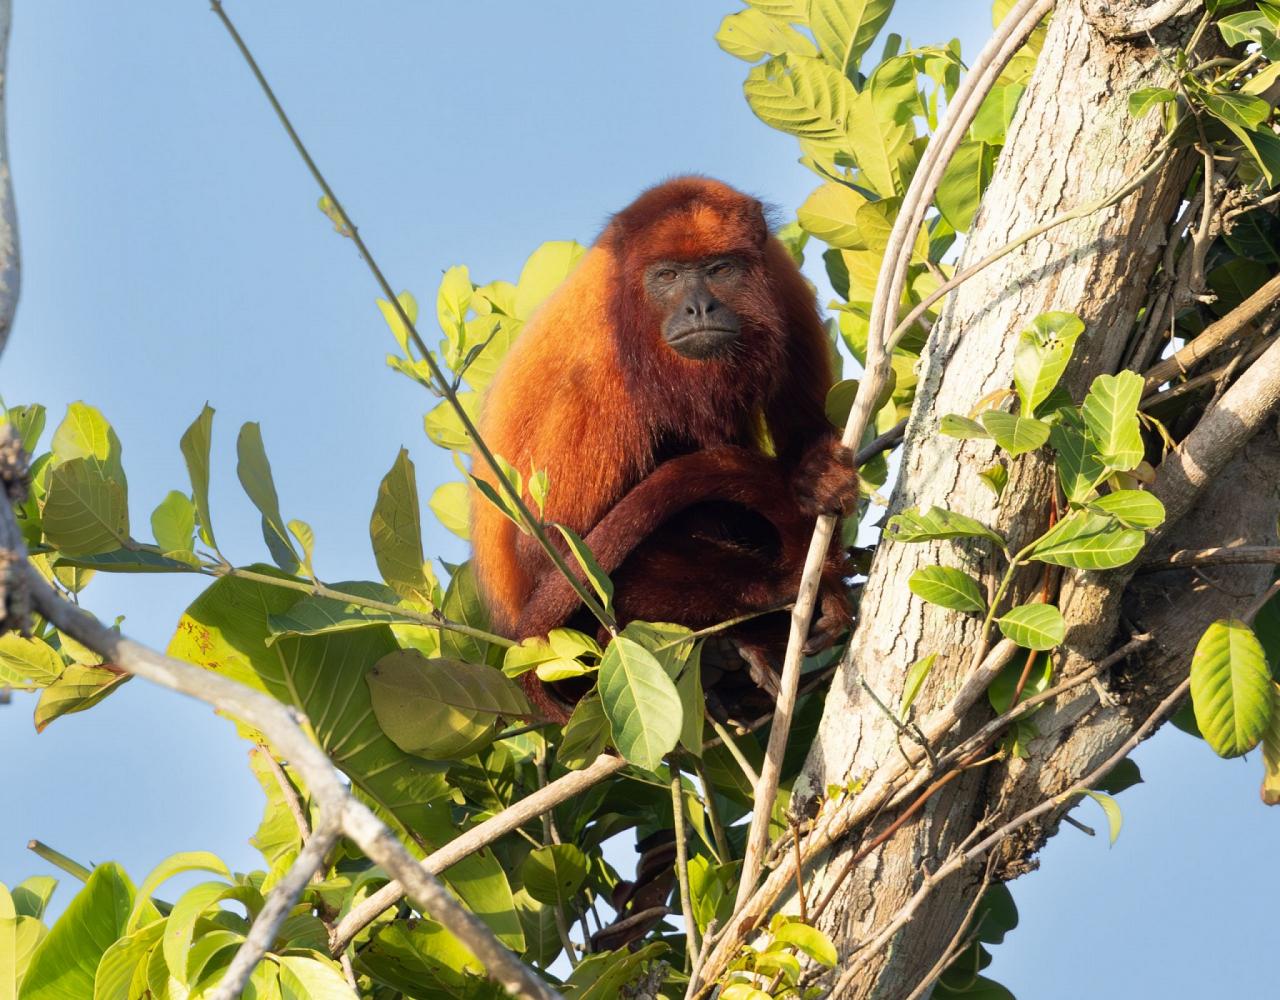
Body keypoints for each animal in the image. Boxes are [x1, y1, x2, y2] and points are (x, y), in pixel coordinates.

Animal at [468, 174, 849, 717]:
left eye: (719, 269)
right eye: (667, 276)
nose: (699, 307)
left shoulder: (782, 281)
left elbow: (806, 430)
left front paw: (823, 478)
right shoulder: (596, 374)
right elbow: (557, 556)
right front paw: (776, 586)